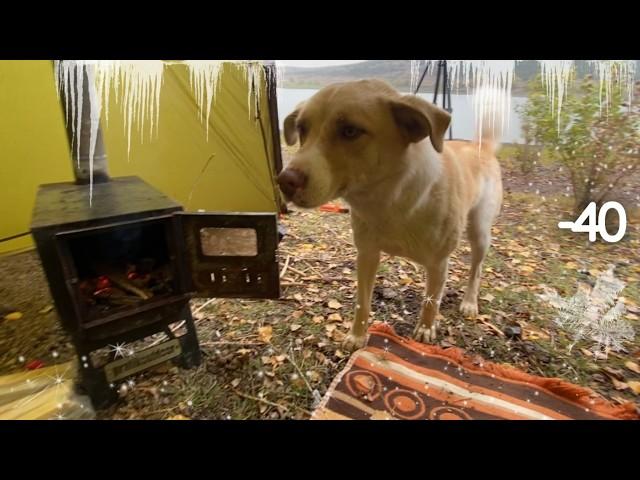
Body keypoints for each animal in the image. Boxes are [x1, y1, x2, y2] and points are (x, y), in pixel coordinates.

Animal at [278, 79, 502, 348]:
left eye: (350, 131)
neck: (390, 201)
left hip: (479, 232)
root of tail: (481, 148)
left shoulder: (439, 263)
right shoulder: (367, 255)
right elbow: (362, 302)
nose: (284, 181)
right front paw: (357, 336)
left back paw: (469, 301)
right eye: (302, 129)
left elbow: (431, 302)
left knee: (476, 269)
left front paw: (425, 330)